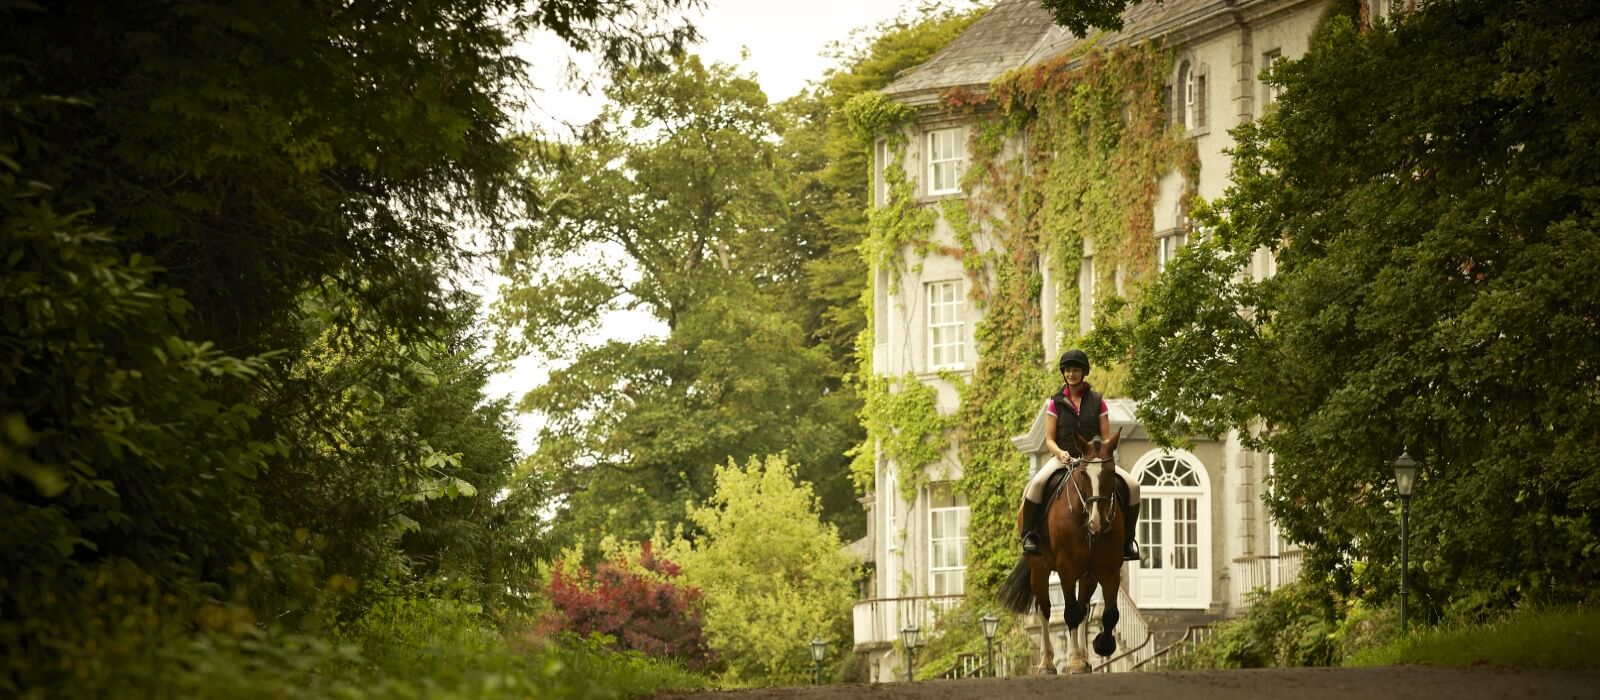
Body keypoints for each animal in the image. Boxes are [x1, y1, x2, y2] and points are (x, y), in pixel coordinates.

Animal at [998, 428, 1126, 674]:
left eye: (1110, 472)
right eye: (1084, 474)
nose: (1097, 522)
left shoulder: (1109, 570)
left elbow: (1109, 613)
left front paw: (1101, 645)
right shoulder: (1067, 570)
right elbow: (1070, 612)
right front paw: (1074, 660)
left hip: (1088, 576)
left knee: (1084, 608)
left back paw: (1084, 658)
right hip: (1039, 568)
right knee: (1045, 609)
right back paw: (1048, 662)